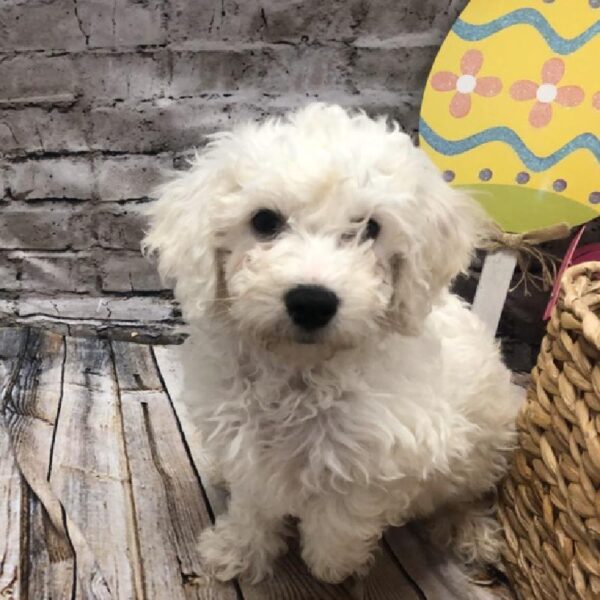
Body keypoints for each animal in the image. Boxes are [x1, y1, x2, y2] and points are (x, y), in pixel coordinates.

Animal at [143, 105, 524, 584]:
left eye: (371, 228)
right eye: (264, 221)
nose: (312, 301)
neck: (300, 375)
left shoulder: (380, 457)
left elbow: (340, 517)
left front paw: (331, 566)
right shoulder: (248, 447)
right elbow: (254, 504)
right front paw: (237, 551)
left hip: (486, 447)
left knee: (466, 494)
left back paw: (472, 531)